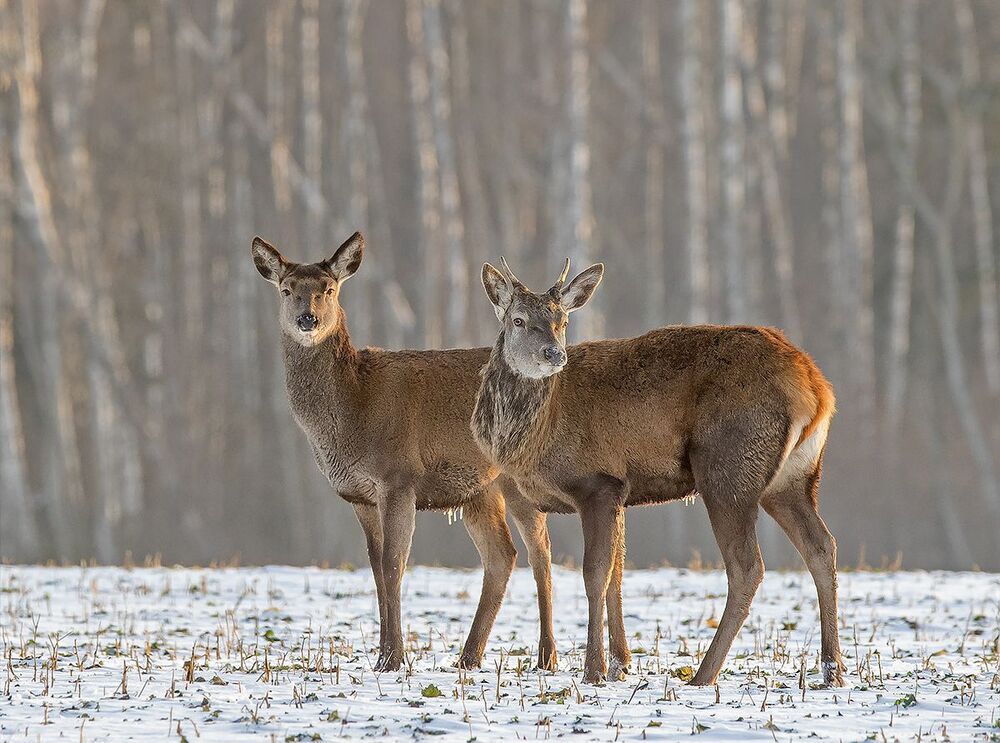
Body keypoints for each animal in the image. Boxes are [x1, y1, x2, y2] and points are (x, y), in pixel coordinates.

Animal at [251, 231, 560, 672]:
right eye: (287, 289)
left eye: (329, 289)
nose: (307, 319)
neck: (355, 410)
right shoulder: (359, 494)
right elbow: (375, 566)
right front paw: (382, 653)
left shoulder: (398, 477)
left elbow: (394, 564)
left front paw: (395, 657)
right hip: (480, 490)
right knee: (502, 555)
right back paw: (469, 656)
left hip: (517, 476)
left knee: (541, 553)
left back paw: (546, 656)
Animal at [471, 257, 844, 687]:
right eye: (518, 319)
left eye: (561, 320)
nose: (553, 354)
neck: (535, 434)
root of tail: (817, 389)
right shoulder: (620, 491)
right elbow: (617, 574)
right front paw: (620, 665)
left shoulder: (597, 481)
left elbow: (595, 574)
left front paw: (594, 669)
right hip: (792, 479)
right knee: (821, 546)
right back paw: (832, 669)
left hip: (729, 466)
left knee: (748, 566)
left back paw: (703, 674)